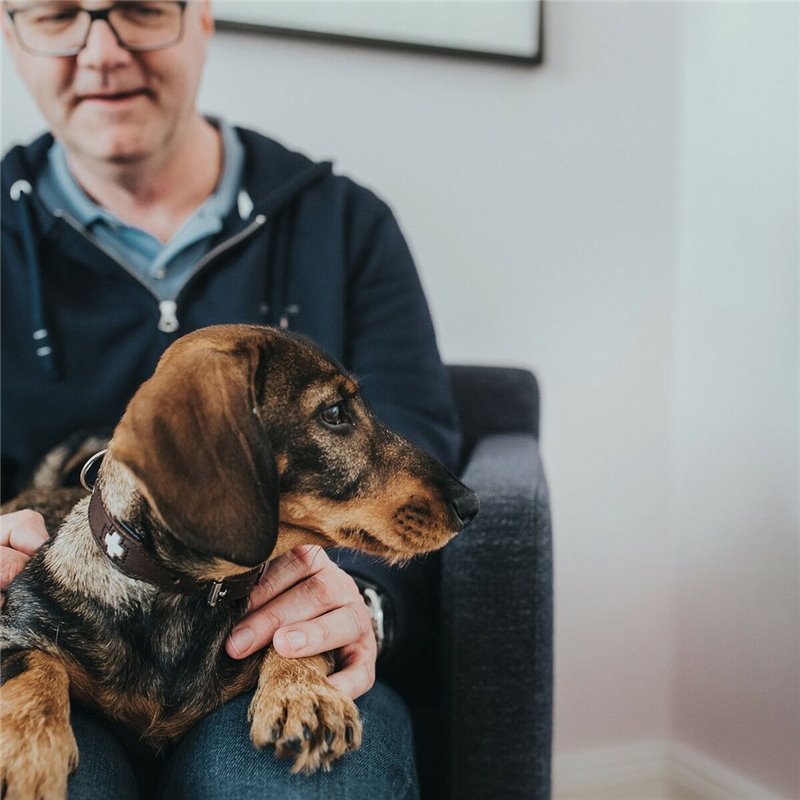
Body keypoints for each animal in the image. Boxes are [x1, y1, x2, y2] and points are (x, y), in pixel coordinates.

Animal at [0, 324, 476, 800]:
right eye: (334, 412)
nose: (470, 505)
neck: (185, 595)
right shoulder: (18, 628)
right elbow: (34, 663)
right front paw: (29, 744)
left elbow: (292, 639)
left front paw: (305, 695)